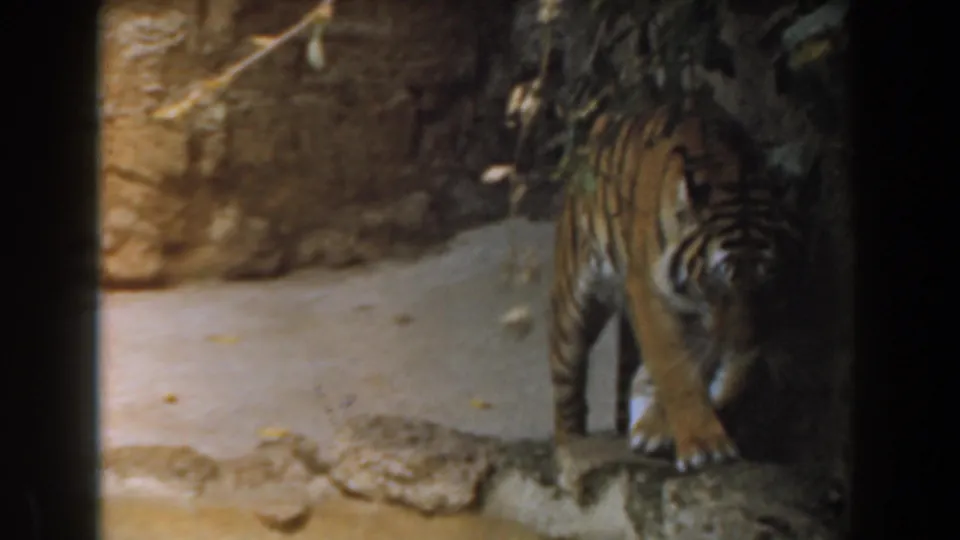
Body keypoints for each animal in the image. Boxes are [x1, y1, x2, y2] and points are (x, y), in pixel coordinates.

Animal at [548, 101, 806, 472]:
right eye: (717, 283)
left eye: (764, 282)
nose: (738, 341)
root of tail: (605, 123)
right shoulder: (652, 295)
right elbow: (675, 370)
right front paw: (703, 444)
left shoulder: (755, 319)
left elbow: (729, 373)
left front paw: (662, 428)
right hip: (574, 304)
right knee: (567, 387)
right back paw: (570, 445)